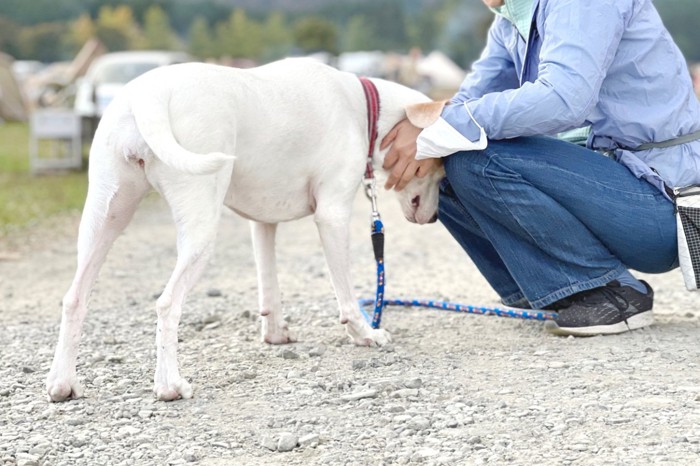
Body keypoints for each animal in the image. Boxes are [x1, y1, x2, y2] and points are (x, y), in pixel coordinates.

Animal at [46, 57, 446, 400]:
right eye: (439, 169)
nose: (433, 219)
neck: (363, 108)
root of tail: (148, 94)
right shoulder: (332, 217)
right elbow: (346, 295)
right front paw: (365, 334)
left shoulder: (263, 223)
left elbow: (270, 288)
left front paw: (275, 335)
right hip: (199, 229)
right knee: (167, 304)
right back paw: (169, 386)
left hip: (104, 219)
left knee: (74, 298)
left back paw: (63, 384)